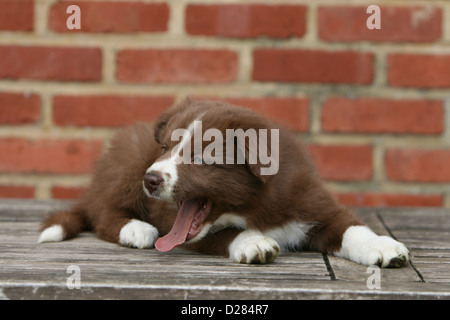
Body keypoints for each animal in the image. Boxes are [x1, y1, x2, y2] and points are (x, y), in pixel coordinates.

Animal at [40, 98, 410, 268]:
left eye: (201, 158)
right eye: (165, 148)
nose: (152, 178)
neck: (257, 207)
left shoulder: (311, 199)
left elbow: (351, 227)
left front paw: (383, 246)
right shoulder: (179, 224)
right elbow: (226, 233)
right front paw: (254, 242)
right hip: (127, 164)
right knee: (103, 214)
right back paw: (136, 229)